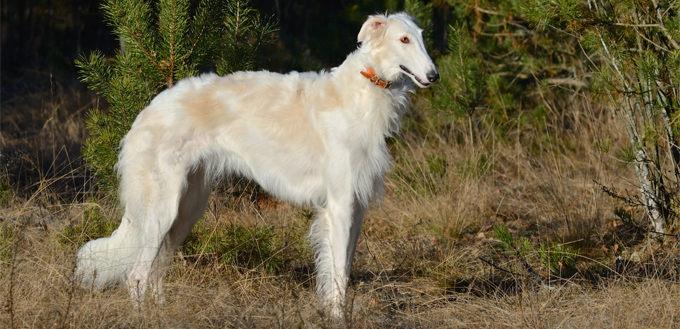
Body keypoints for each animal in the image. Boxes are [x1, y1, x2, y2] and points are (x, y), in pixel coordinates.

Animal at [73, 11, 436, 316]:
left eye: (421, 36)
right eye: (403, 39)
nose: (433, 75)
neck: (363, 91)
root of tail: (145, 112)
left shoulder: (357, 207)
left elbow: (343, 270)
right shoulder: (339, 205)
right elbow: (336, 278)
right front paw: (336, 318)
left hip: (187, 208)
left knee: (157, 271)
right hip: (163, 208)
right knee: (136, 276)